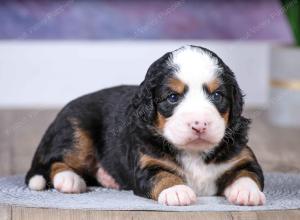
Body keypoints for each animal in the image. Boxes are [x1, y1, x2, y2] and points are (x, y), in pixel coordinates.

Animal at [25, 45, 264, 207]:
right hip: (77, 131)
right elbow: (163, 175)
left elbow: (248, 174)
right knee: (53, 162)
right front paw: (177, 191)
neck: (194, 152)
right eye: (172, 97)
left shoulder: (243, 157)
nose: (200, 125)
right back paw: (69, 180)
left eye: (217, 95)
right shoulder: (147, 164)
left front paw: (247, 193)